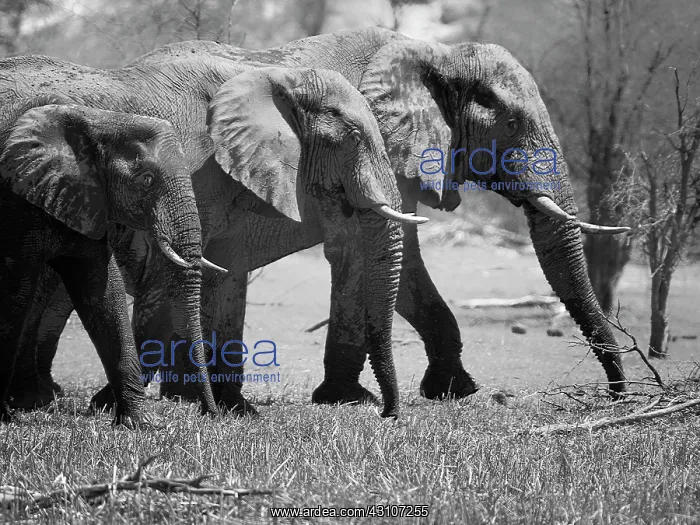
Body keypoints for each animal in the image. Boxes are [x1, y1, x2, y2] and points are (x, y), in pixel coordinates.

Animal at [0, 103, 221, 425]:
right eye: (146, 179)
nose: (210, 414)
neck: (98, 120)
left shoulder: (85, 197)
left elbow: (103, 292)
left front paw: (139, 424)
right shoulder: (17, 205)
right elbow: (15, 294)